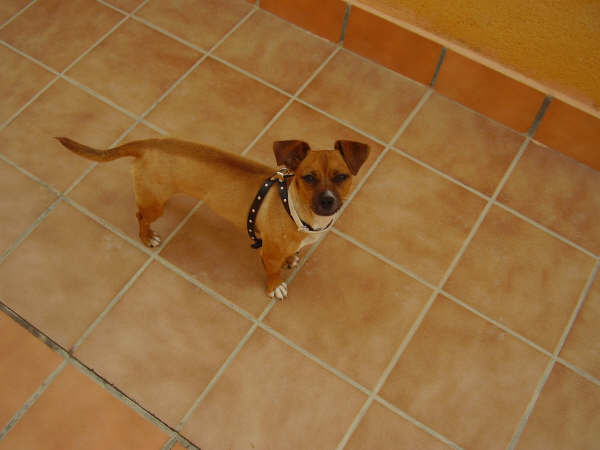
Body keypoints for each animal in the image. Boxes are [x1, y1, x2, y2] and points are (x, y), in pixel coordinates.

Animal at [56, 137, 369, 299]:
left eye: (342, 177)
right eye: (308, 178)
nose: (327, 201)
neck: (294, 208)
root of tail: (148, 143)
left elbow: (292, 254)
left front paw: (293, 258)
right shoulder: (268, 255)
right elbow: (273, 272)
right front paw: (274, 287)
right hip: (155, 204)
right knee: (141, 215)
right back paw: (147, 236)